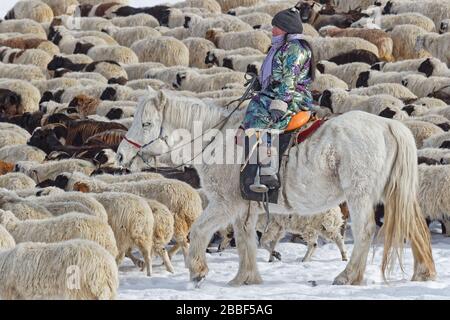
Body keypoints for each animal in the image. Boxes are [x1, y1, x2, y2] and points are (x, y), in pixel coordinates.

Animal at [117, 90, 436, 288]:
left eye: (147, 123)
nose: (120, 155)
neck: (218, 140)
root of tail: (388, 126)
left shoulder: (225, 203)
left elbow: (200, 230)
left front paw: (198, 272)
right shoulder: (244, 209)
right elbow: (246, 241)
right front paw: (245, 278)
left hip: (360, 195)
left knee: (366, 231)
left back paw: (348, 276)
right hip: (394, 194)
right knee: (414, 227)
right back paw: (424, 272)